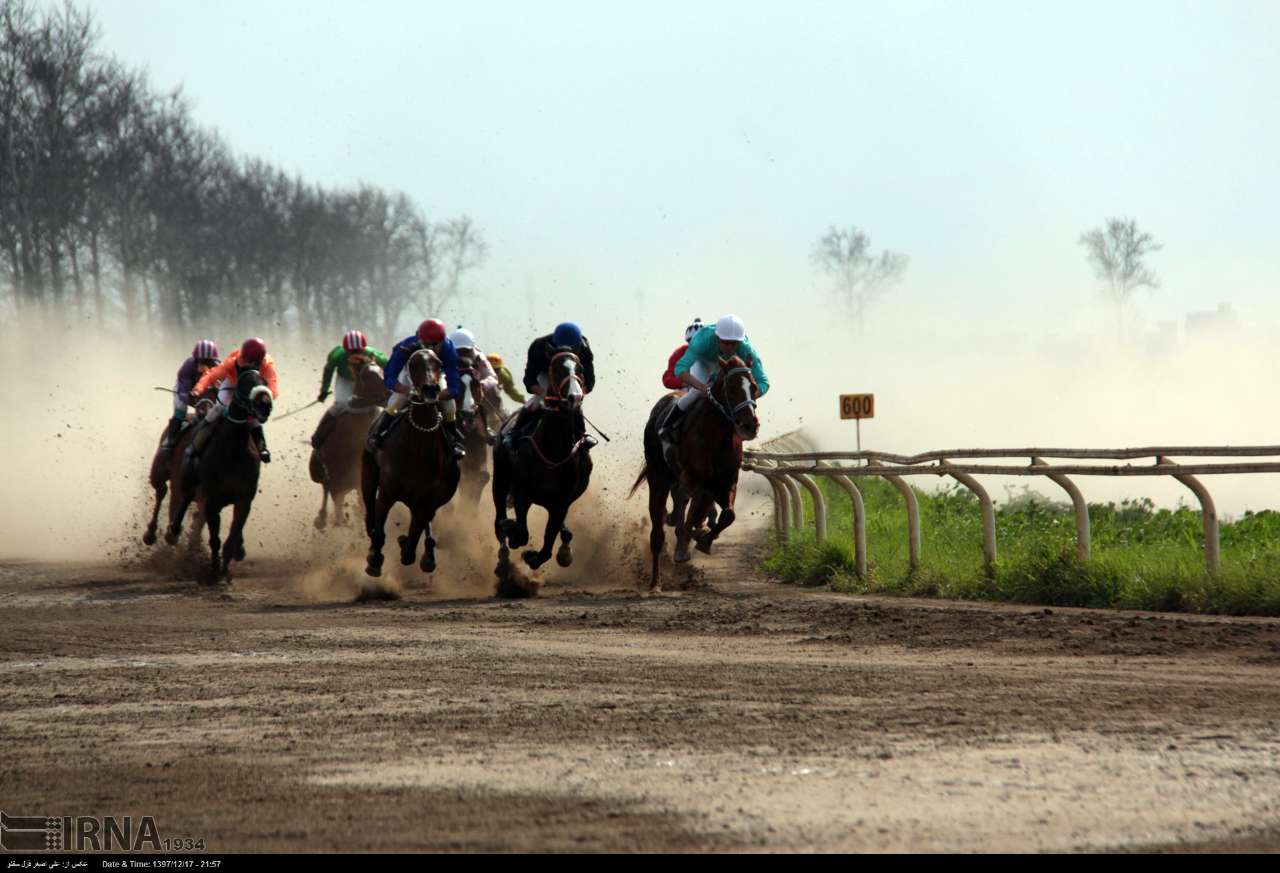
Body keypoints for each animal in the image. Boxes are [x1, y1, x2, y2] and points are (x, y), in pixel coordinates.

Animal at [165, 363, 272, 581]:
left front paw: (224, 571)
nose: (265, 405)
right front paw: (214, 571)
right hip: (188, 482)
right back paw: (173, 532)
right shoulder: (211, 500)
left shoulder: (243, 499)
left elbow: (231, 537)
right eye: (243, 383)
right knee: (184, 501)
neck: (233, 451)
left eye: (264, 381)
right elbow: (215, 539)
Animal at [311, 355, 389, 527]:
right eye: (366, 376)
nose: (389, 394)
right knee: (327, 493)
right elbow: (339, 513)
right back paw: (322, 518)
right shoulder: (337, 483)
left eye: (382, 371)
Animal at [360, 345, 460, 578]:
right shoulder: (387, 492)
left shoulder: (427, 501)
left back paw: (428, 555)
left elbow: (412, 543)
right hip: (368, 473)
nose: (431, 389)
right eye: (412, 364)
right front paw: (374, 559)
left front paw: (408, 545)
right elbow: (380, 531)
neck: (418, 448)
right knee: (369, 511)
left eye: (438, 364)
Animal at [491, 345, 591, 578]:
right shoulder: (522, 494)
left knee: (563, 531)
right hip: (500, 480)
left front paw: (537, 556)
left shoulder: (561, 503)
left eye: (580, 369)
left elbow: (547, 545)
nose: (574, 397)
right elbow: (521, 533)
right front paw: (513, 535)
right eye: (556, 368)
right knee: (498, 521)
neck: (552, 449)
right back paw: (503, 558)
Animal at [632, 355, 757, 591]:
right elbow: (690, 511)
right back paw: (655, 582)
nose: (750, 425)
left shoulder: (726, 483)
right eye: (732, 387)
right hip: (658, 476)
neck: (717, 435)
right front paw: (686, 543)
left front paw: (704, 540)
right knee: (658, 532)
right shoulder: (694, 478)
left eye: (753, 387)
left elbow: (727, 514)